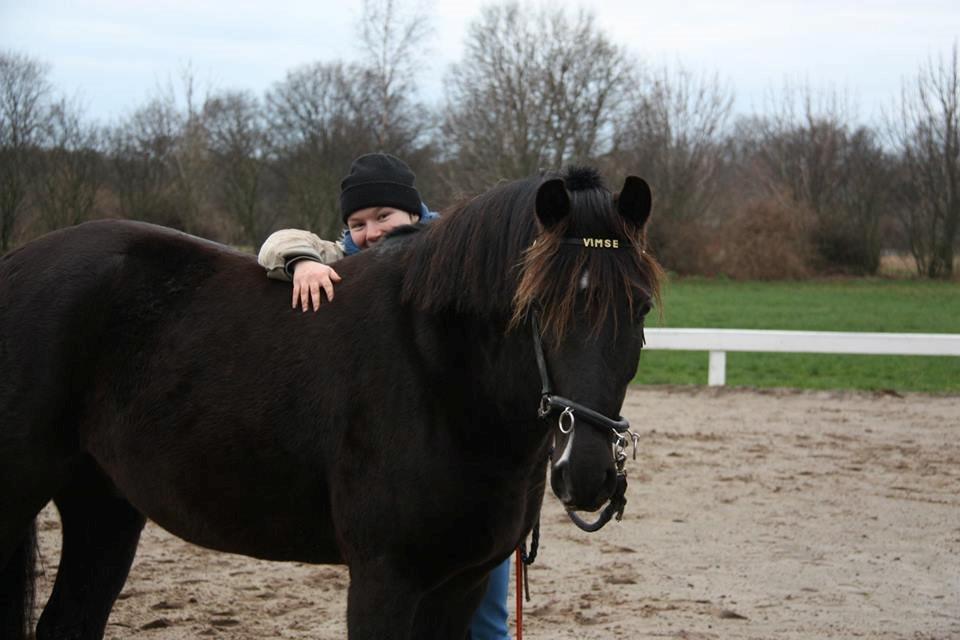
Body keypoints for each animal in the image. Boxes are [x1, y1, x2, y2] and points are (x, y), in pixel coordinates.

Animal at [0, 168, 660, 636]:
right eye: (537, 306)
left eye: (643, 307)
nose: (587, 473)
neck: (437, 374)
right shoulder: (384, 578)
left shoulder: (463, 581)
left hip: (104, 504)